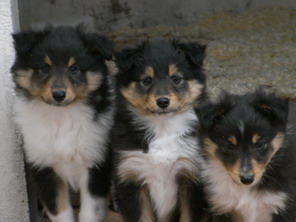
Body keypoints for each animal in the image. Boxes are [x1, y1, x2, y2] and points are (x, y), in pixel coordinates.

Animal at [11, 25, 114, 222]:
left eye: (74, 68)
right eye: (45, 67)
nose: (59, 94)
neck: (62, 115)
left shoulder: (96, 164)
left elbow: (90, 212)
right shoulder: (44, 167)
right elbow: (60, 211)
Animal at [112, 39, 208, 222]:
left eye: (176, 78)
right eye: (147, 80)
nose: (163, 101)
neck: (163, 127)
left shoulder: (192, 178)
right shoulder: (132, 177)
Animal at [194, 90, 296, 222]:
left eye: (259, 144)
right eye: (230, 146)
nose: (247, 179)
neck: (246, 190)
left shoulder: (285, 206)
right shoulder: (223, 207)